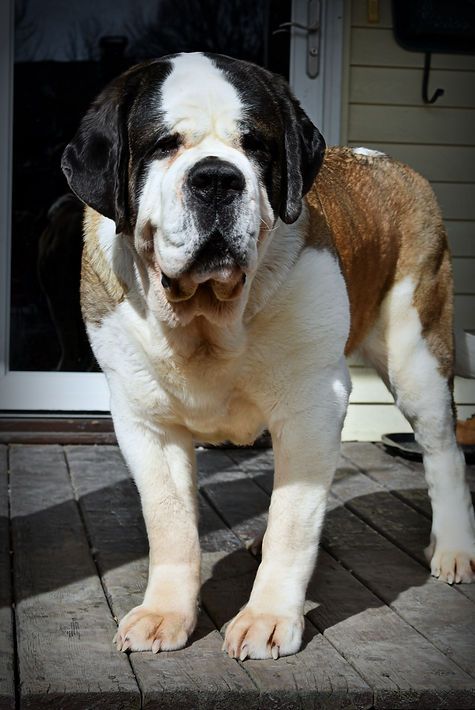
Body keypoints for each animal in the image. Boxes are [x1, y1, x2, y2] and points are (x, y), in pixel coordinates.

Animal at [61, 52, 475, 660]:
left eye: (255, 145)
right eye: (164, 144)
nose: (216, 177)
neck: (207, 319)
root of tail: (382, 159)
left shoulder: (312, 406)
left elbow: (293, 522)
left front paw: (268, 618)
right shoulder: (143, 420)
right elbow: (170, 520)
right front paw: (165, 614)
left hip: (416, 354)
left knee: (443, 451)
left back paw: (454, 547)